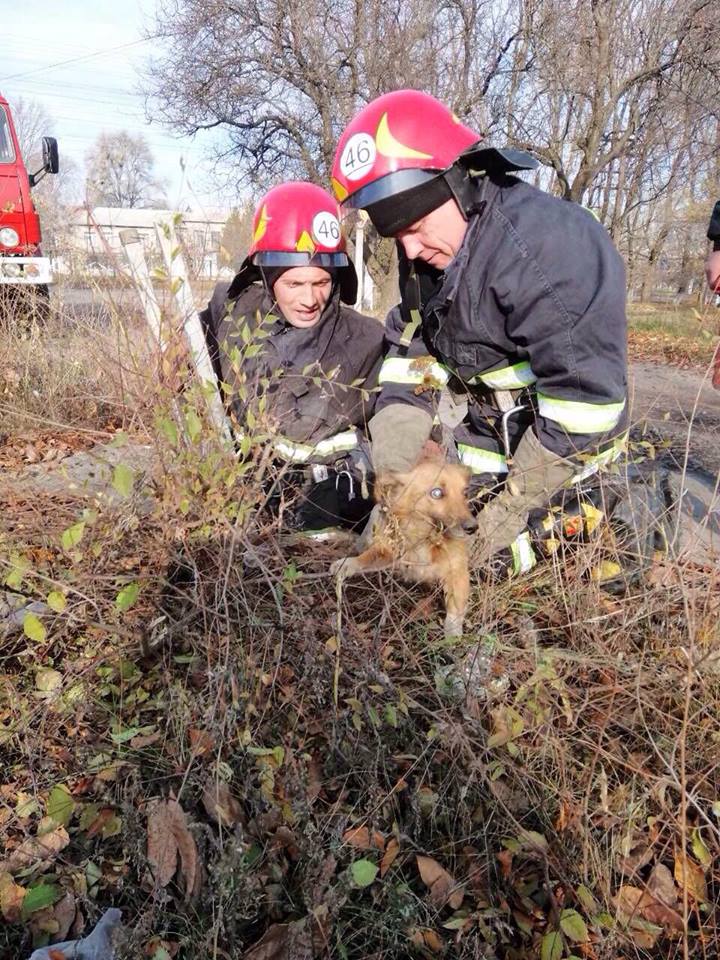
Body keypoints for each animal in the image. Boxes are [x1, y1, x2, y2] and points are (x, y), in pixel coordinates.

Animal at [332, 450, 478, 636]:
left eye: (465, 493)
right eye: (437, 493)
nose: (473, 527)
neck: (425, 538)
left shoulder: (458, 571)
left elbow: (456, 607)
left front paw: (453, 635)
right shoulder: (388, 554)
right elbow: (366, 557)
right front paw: (347, 563)